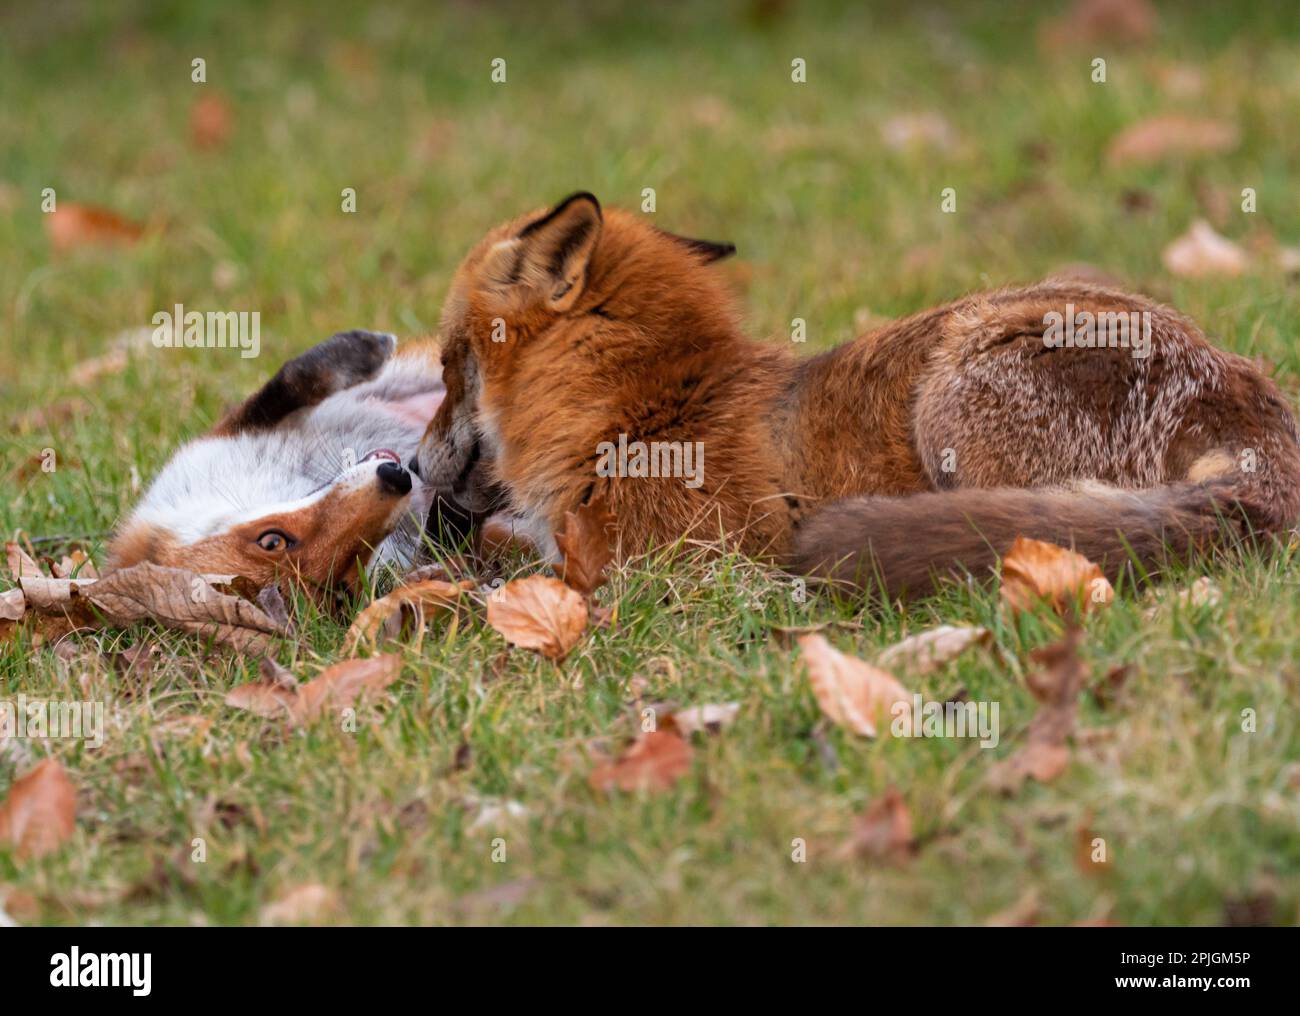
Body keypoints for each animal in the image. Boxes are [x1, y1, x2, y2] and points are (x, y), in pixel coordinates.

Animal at [109, 330, 460, 592]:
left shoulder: (223, 438)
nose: (396, 480)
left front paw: (364, 348)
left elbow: (291, 381)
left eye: (271, 540)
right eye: (344, 586)